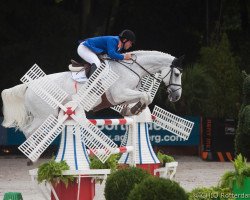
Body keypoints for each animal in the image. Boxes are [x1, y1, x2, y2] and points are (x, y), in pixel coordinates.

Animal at [0, 50, 183, 138]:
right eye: (177, 74)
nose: (176, 96)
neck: (130, 67)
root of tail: (29, 86)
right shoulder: (119, 94)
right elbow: (146, 96)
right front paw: (135, 109)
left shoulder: (124, 95)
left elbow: (145, 97)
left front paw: (130, 110)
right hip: (44, 115)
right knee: (29, 131)